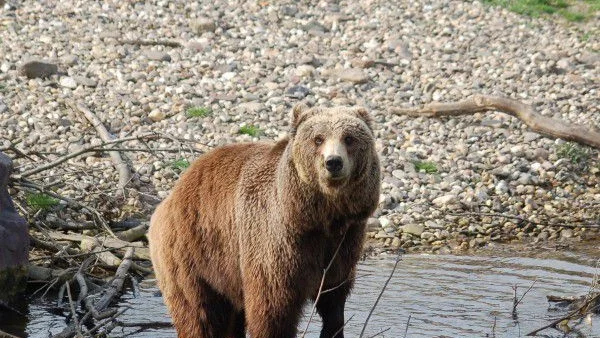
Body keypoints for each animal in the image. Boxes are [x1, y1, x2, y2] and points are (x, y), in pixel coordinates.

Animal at [150, 104, 382, 336]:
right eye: (318, 138)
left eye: (349, 138)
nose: (333, 162)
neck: (317, 216)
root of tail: (172, 194)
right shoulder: (275, 242)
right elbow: (272, 309)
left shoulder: (342, 244)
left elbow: (333, 300)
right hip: (193, 254)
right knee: (198, 313)